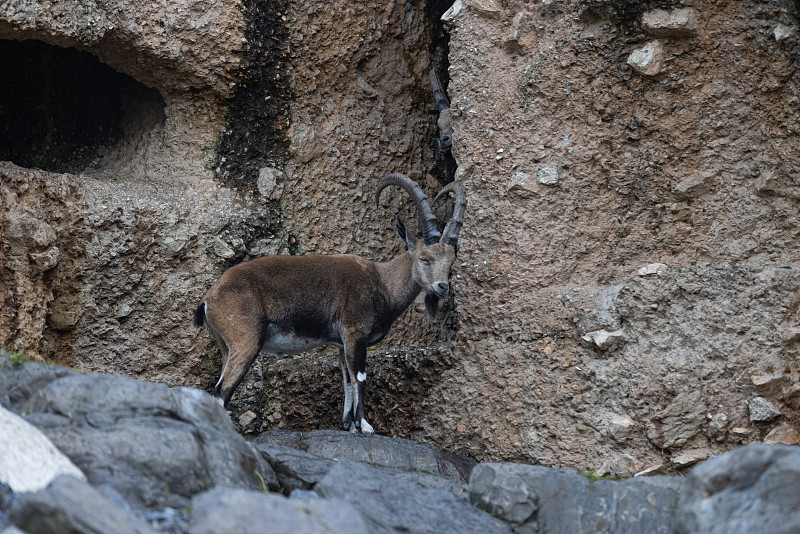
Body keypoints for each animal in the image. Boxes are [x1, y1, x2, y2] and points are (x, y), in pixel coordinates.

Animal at [194, 176, 466, 436]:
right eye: (424, 258)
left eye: (451, 261)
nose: (442, 287)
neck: (382, 282)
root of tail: (209, 298)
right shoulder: (355, 333)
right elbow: (360, 377)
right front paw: (365, 425)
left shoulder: (341, 343)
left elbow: (347, 379)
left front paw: (348, 424)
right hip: (246, 340)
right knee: (221, 391)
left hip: (226, 346)